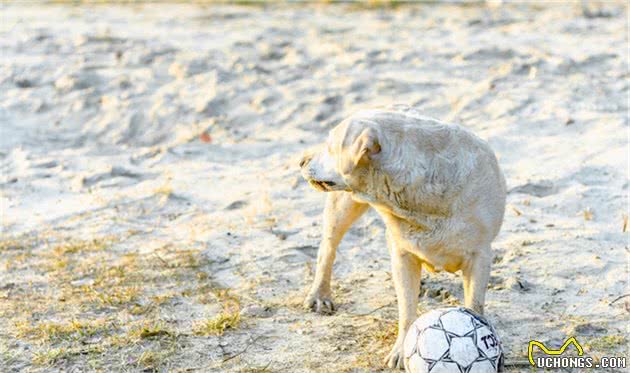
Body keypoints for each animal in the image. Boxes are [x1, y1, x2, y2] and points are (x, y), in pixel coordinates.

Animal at [298, 106, 506, 368]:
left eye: (329, 145)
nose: (301, 161)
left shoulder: (480, 255)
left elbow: (474, 305)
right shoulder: (403, 255)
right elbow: (407, 309)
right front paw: (401, 350)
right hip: (342, 205)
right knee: (328, 248)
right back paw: (320, 294)